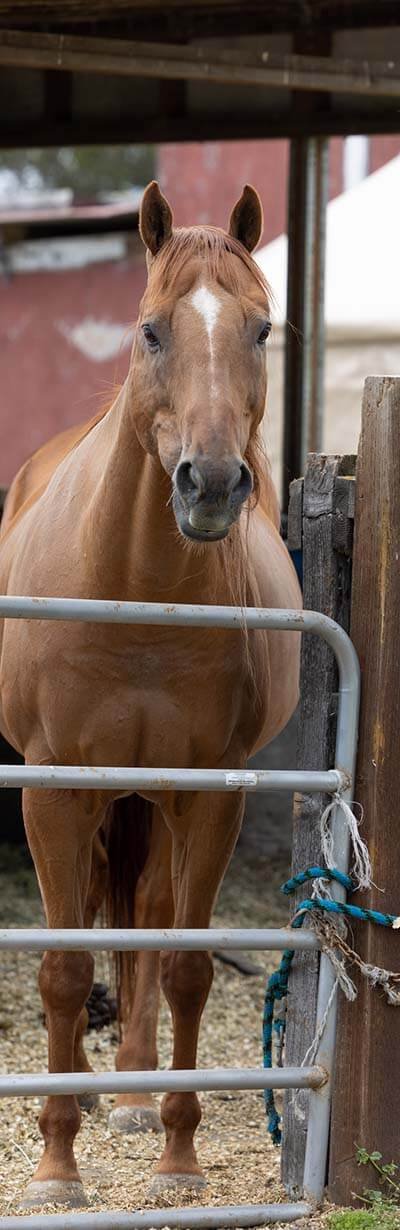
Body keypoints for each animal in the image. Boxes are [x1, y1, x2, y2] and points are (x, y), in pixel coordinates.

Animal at [0, 181, 301, 1210]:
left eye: (262, 329)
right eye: (150, 330)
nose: (209, 483)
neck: (134, 590)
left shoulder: (206, 795)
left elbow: (182, 964)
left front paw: (177, 1154)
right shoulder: (52, 791)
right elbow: (60, 971)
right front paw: (55, 1171)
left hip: (155, 799)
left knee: (145, 921)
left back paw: (131, 1096)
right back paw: (92, 1095)